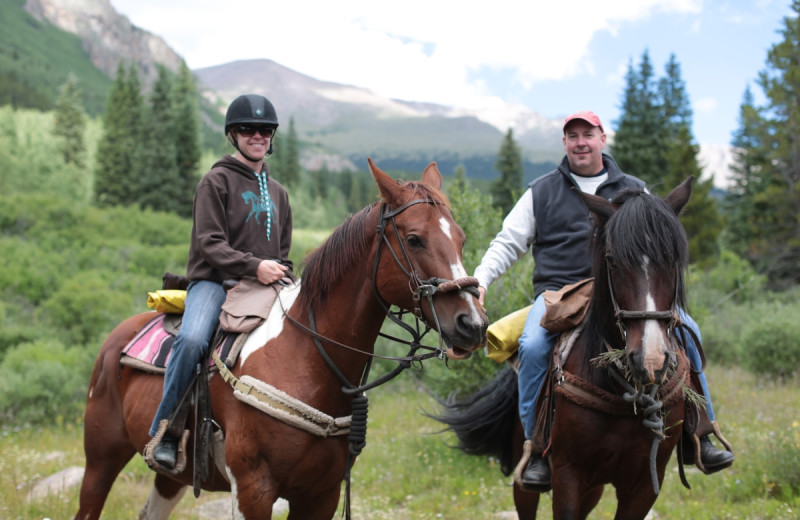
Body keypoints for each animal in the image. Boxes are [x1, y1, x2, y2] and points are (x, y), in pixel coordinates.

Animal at [75, 159, 488, 520]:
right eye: (415, 239)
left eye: (461, 238)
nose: (472, 324)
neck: (307, 358)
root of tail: (116, 338)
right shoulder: (253, 491)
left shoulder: (322, 495)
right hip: (101, 460)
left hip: (172, 476)